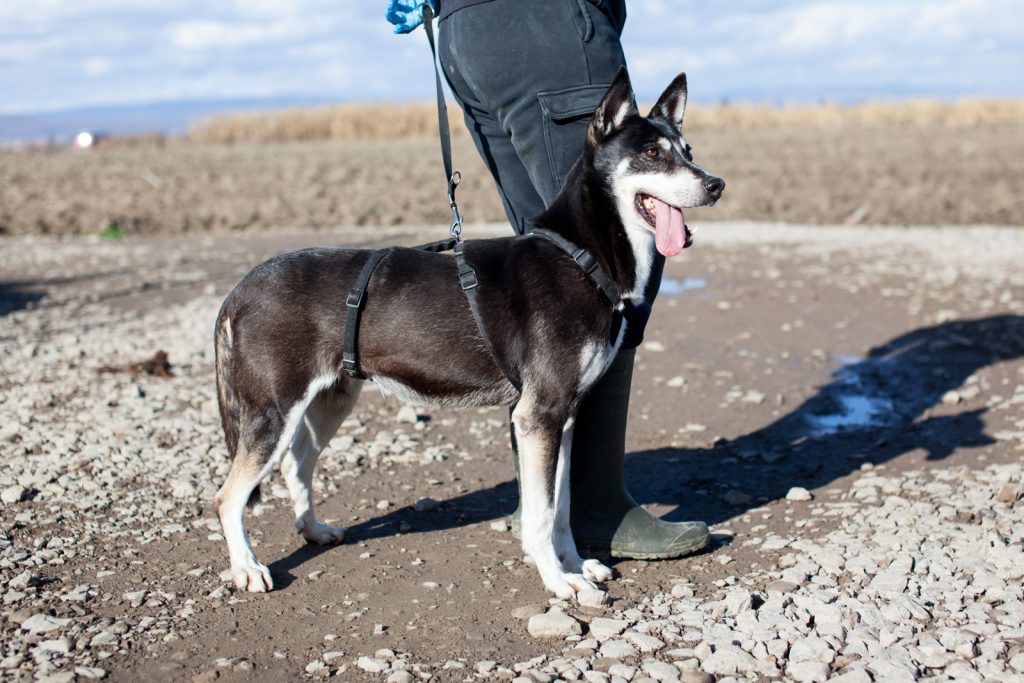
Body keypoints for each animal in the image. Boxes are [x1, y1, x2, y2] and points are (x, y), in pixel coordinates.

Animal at [211, 69, 724, 602]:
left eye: (687, 149)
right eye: (652, 153)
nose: (716, 185)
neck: (579, 255)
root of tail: (238, 291)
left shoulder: (561, 417)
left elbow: (560, 509)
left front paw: (576, 565)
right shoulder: (538, 416)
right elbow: (541, 515)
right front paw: (558, 578)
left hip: (331, 398)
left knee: (296, 465)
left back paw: (314, 530)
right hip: (273, 412)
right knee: (228, 497)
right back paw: (247, 568)